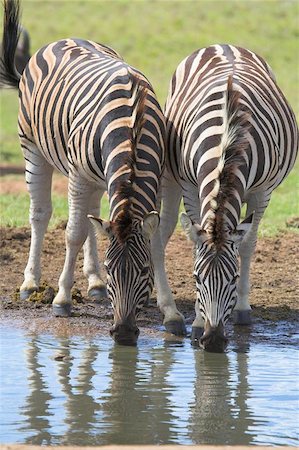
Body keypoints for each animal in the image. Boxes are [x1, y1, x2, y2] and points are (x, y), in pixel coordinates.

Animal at [0, 0, 185, 344]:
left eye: (144, 271)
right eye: (113, 269)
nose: (123, 334)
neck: (132, 123)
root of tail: (63, 39)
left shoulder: (158, 177)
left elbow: (154, 241)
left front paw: (170, 311)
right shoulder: (77, 174)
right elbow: (73, 232)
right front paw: (62, 300)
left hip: (97, 177)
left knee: (93, 218)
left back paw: (94, 283)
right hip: (32, 146)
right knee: (41, 214)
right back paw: (31, 283)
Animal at [155, 44, 299, 352]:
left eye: (233, 278)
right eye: (196, 278)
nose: (213, 340)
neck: (226, 144)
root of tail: (224, 46)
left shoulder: (262, 192)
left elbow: (247, 246)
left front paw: (242, 310)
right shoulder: (190, 186)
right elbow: (196, 248)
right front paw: (197, 323)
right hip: (170, 177)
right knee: (160, 235)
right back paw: (171, 314)